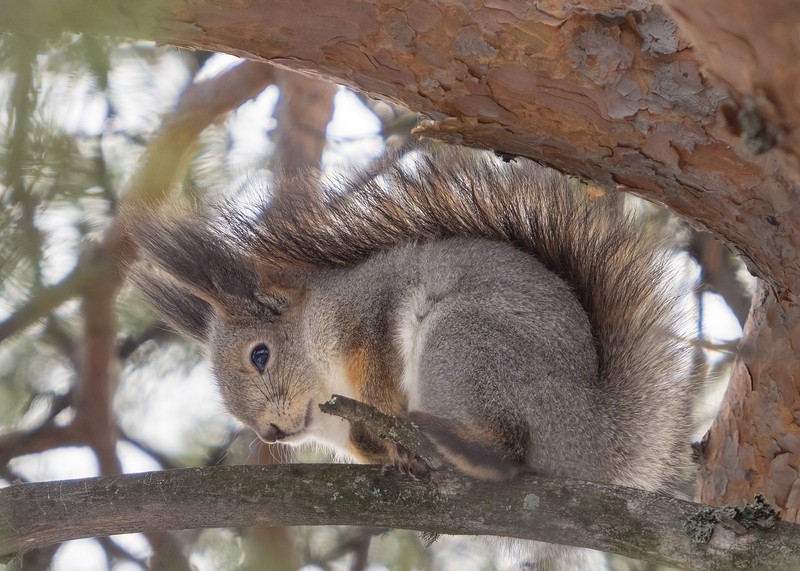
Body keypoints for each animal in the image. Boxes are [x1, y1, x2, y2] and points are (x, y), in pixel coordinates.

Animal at [125, 146, 692, 568]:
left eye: (260, 355)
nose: (271, 434)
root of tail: (598, 438)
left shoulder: (369, 317)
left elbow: (379, 370)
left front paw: (393, 435)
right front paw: (381, 448)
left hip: (465, 347)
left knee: (509, 450)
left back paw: (446, 440)